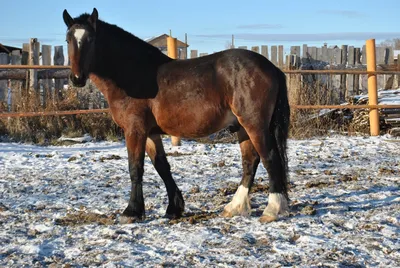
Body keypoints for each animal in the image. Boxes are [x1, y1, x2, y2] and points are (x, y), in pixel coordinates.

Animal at [61, 7, 290, 223]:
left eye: (90, 39)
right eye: (68, 39)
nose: (77, 78)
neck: (133, 74)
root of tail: (271, 67)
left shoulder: (135, 130)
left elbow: (135, 168)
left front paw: (131, 212)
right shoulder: (151, 133)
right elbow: (162, 167)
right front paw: (174, 208)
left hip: (255, 125)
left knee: (270, 158)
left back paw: (272, 210)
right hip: (242, 127)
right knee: (250, 161)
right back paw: (234, 207)